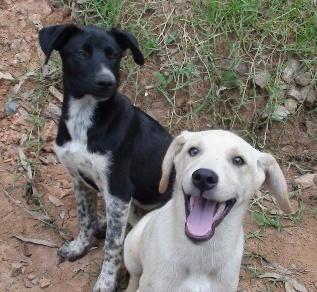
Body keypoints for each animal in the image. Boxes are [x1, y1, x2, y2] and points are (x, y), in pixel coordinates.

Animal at [39, 24, 173, 292]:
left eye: (113, 55)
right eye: (82, 52)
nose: (107, 82)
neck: (85, 118)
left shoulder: (119, 191)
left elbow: (113, 246)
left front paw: (106, 281)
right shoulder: (79, 179)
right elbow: (85, 218)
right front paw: (79, 247)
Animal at [123, 131, 292, 292]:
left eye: (238, 160)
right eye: (193, 151)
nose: (203, 177)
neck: (200, 254)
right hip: (132, 253)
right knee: (134, 276)